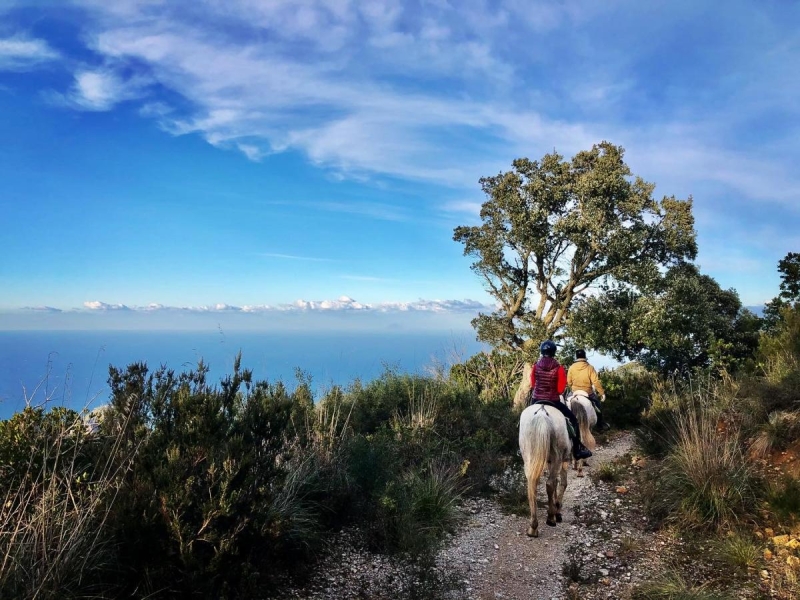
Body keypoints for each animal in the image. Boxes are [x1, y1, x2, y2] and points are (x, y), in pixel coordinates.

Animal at [520, 400, 576, 536]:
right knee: (550, 484)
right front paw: (557, 511)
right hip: (557, 458)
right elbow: (562, 483)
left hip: (529, 457)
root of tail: (541, 412)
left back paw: (533, 527)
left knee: (532, 485)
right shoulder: (564, 461)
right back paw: (550, 518)